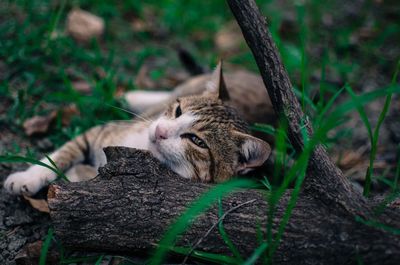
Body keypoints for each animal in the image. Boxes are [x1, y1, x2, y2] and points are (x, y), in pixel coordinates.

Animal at [3, 61, 272, 194]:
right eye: (178, 111)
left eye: (198, 142)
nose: (160, 131)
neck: (140, 147)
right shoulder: (100, 132)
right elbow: (61, 154)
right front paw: (28, 177)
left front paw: (80, 173)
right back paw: (134, 96)